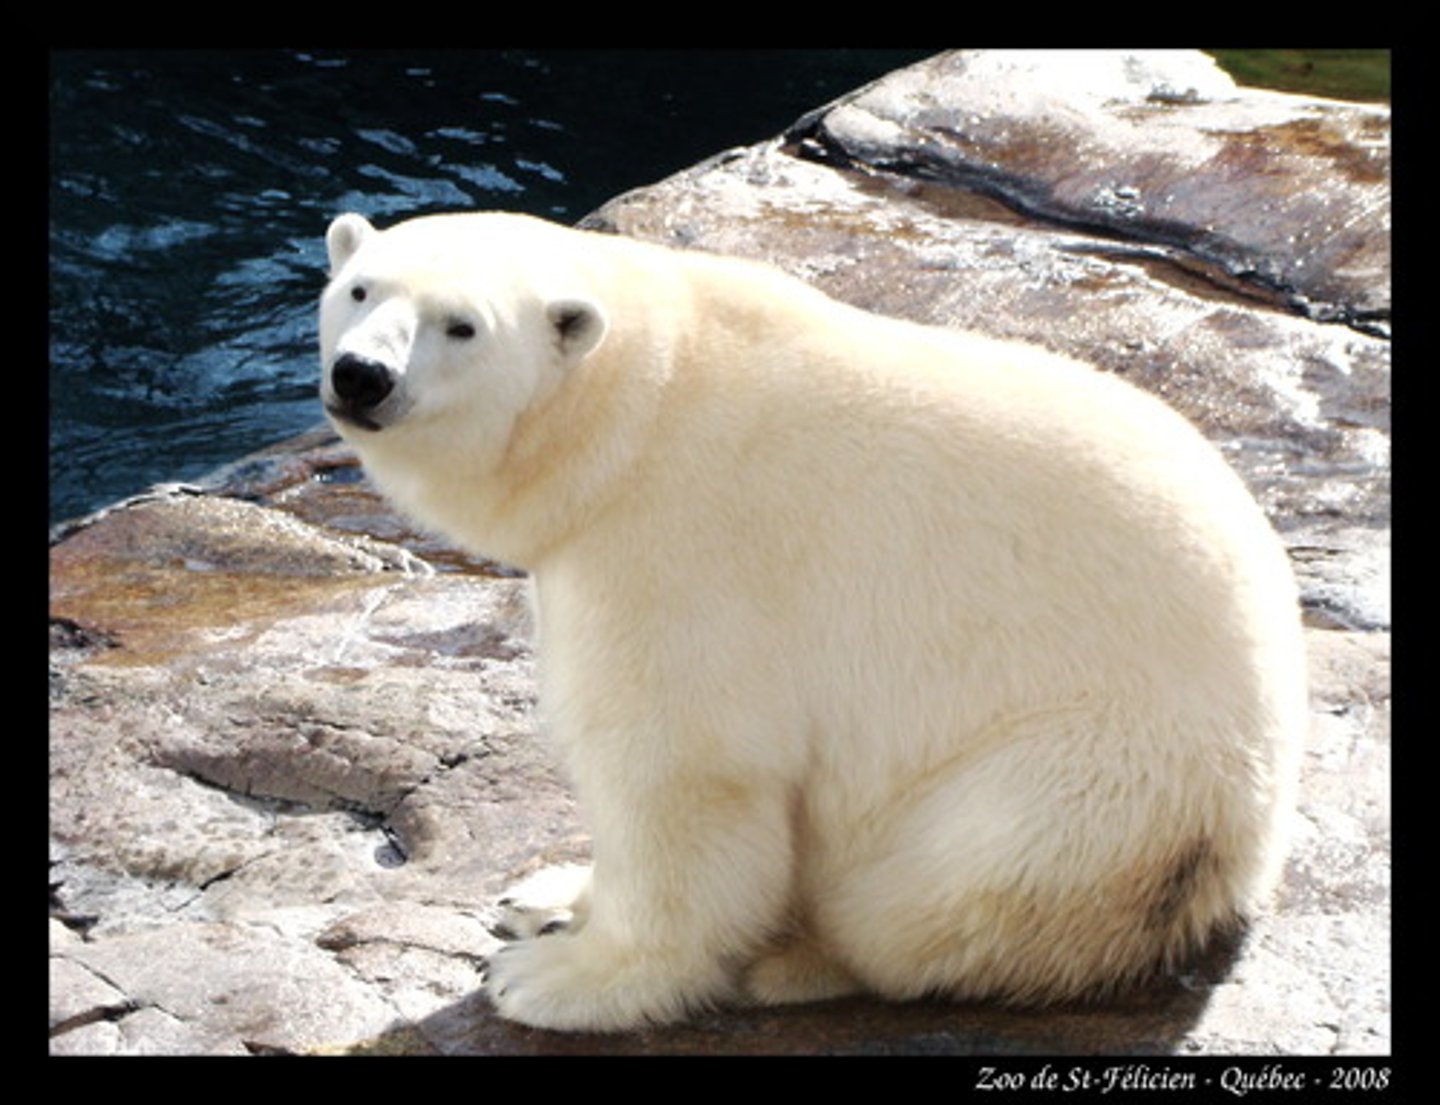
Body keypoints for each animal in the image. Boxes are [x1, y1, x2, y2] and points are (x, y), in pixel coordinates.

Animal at [319, 210, 1308, 1032]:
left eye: (462, 326)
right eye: (361, 289)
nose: (360, 375)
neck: (639, 405)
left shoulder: (686, 549)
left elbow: (678, 770)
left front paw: (558, 978)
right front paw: (548, 894)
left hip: (1102, 770)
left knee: (953, 874)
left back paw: (797, 958)